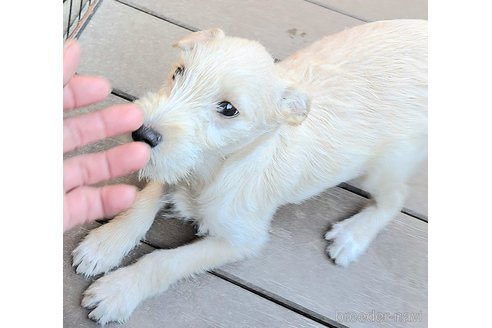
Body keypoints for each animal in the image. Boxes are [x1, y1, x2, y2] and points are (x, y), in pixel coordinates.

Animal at [72, 19, 426, 324]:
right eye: (179, 72)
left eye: (228, 109)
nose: (141, 133)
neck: (212, 169)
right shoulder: (177, 168)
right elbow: (146, 200)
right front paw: (105, 243)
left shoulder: (242, 240)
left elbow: (166, 260)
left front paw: (118, 291)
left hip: (380, 166)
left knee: (395, 197)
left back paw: (353, 236)